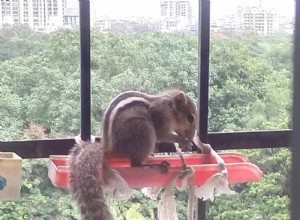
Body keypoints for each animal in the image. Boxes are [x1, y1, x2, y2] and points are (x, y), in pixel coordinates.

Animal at [69, 89, 198, 220]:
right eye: (190, 118)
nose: (191, 137)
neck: (169, 107)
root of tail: (111, 148)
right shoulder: (160, 117)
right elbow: (162, 134)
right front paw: (183, 141)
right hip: (143, 130)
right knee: (135, 164)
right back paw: (153, 165)